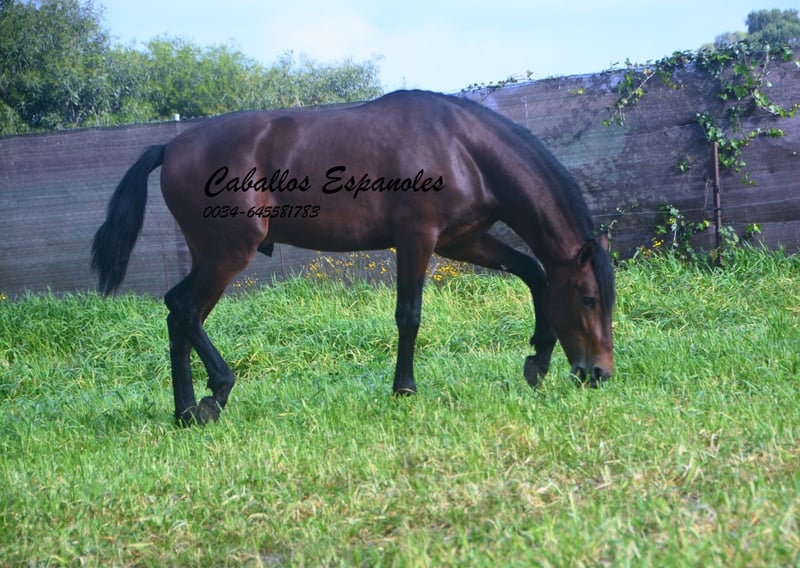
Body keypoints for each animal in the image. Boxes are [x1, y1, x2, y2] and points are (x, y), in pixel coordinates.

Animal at [92, 89, 615, 426]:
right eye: (589, 300)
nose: (599, 374)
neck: (463, 148)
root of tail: (169, 145)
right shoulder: (418, 239)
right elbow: (409, 315)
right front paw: (404, 389)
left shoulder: (460, 242)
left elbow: (534, 273)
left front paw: (538, 360)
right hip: (227, 254)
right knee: (183, 309)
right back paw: (215, 393)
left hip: (212, 256)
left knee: (179, 316)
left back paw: (184, 411)